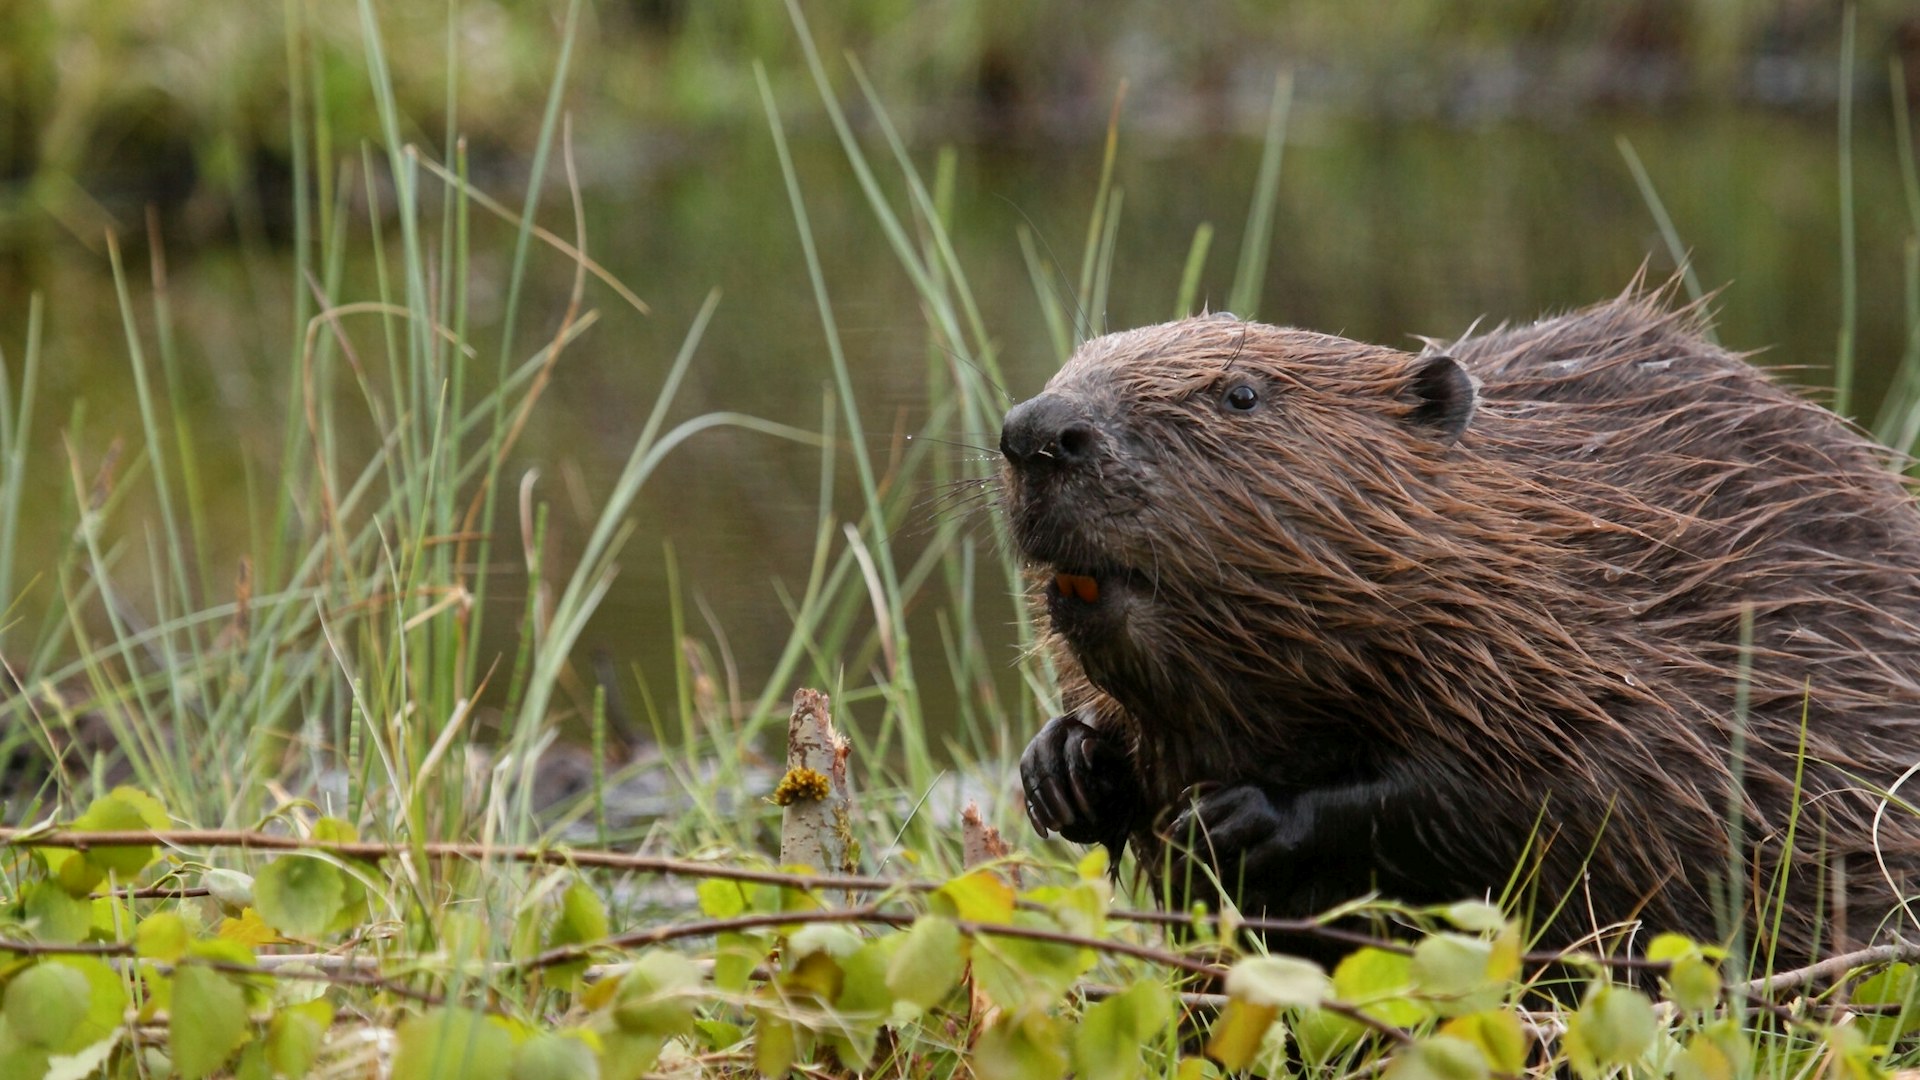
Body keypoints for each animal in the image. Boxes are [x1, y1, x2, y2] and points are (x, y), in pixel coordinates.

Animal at [1006, 286, 1920, 957]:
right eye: (1074, 362)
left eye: (1240, 393)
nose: (1037, 431)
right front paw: (1063, 768)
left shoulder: (1617, 657)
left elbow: (1540, 797)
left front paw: (1237, 817)